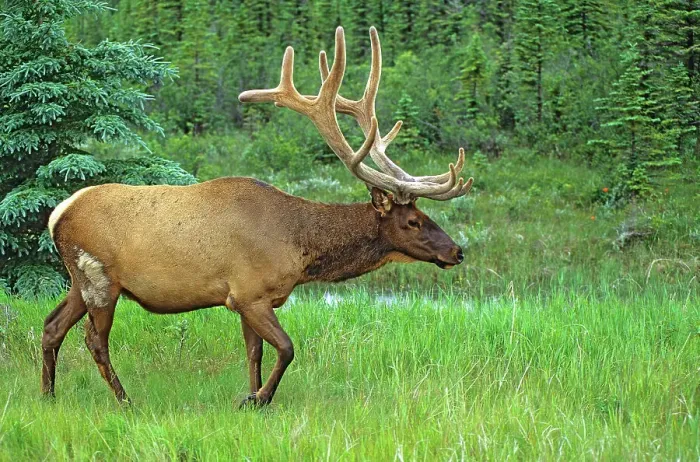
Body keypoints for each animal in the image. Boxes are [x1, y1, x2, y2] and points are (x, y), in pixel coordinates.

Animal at [41, 26, 473, 408]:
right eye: (413, 221)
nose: (456, 251)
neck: (299, 248)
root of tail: (57, 215)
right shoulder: (250, 294)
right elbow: (286, 348)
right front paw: (259, 398)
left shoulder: (249, 299)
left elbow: (255, 355)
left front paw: (251, 395)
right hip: (99, 278)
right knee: (94, 340)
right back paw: (124, 400)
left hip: (79, 281)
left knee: (51, 326)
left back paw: (48, 394)